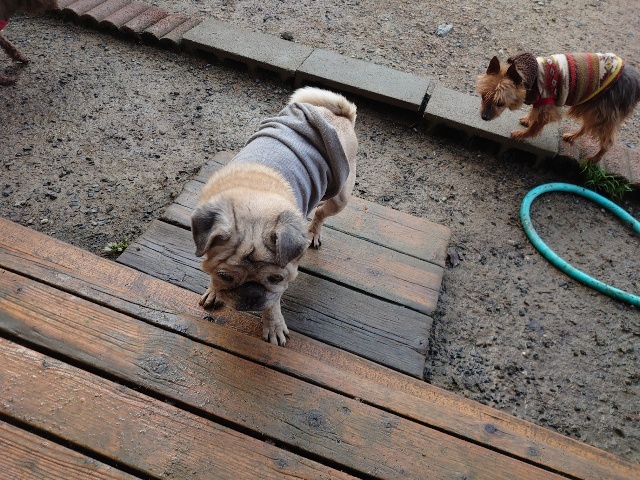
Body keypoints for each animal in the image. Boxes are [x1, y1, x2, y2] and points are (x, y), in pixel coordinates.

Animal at [191, 87, 358, 346]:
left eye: (276, 278)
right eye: (225, 276)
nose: (251, 293)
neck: (254, 196)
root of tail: (339, 114)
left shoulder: (285, 276)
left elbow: (272, 303)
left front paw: (273, 324)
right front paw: (213, 291)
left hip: (340, 197)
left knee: (321, 212)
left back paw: (313, 231)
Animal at [477, 52, 640, 162]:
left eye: (500, 103)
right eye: (483, 96)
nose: (484, 117)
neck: (532, 78)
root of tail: (635, 82)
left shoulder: (547, 105)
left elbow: (535, 126)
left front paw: (522, 135)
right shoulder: (539, 102)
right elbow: (533, 112)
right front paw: (528, 119)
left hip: (602, 113)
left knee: (608, 141)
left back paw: (594, 159)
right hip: (592, 107)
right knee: (586, 126)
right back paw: (572, 136)